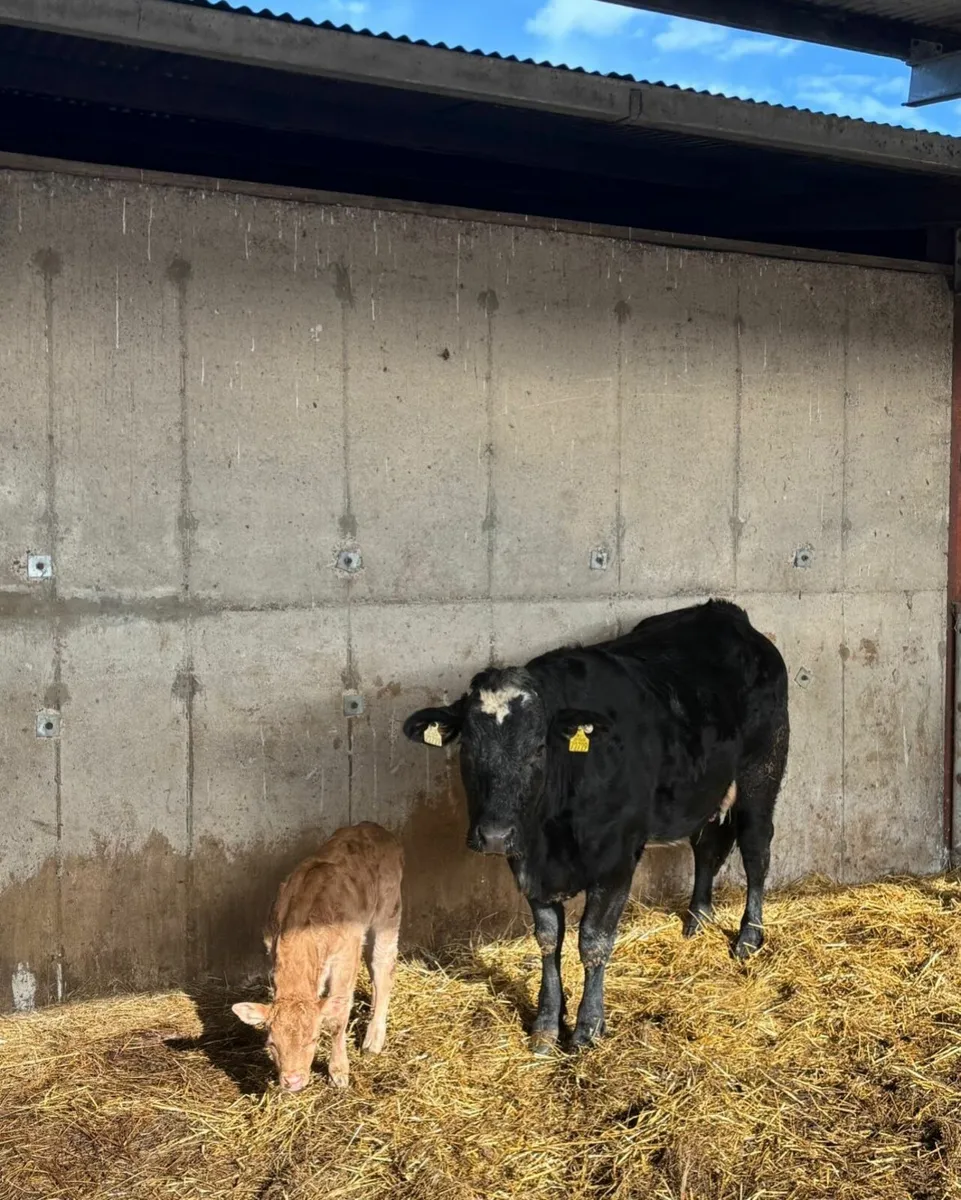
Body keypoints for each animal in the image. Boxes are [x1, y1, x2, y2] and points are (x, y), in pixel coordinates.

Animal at [232, 822, 403, 1090]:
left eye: (313, 1039)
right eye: (272, 1044)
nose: (292, 1081)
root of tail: (374, 827)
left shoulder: (344, 957)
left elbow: (337, 1016)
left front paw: (339, 1071)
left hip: (388, 914)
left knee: (383, 970)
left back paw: (373, 1040)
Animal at [403, 600, 788, 1054]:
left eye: (539, 747)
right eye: (467, 747)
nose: (495, 835)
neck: (551, 838)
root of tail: (725, 613)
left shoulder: (617, 860)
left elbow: (593, 941)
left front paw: (587, 1027)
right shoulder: (528, 865)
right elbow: (548, 939)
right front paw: (547, 1024)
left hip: (761, 773)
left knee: (756, 850)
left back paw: (749, 936)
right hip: (704, 790)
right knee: (708, 846)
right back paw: (697, 919)